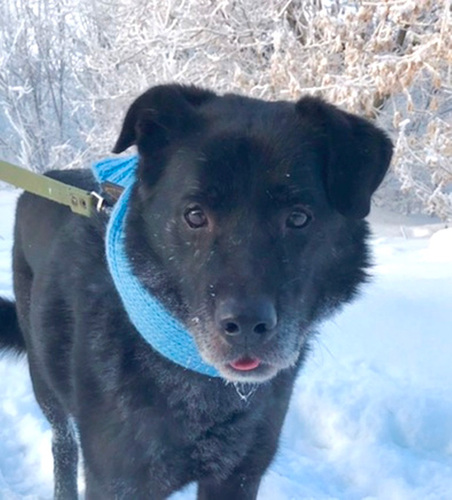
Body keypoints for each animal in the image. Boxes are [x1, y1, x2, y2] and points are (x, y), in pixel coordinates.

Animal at [0, 84, 392, 499]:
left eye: (299, 217)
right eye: (194, 215)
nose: (246, 325)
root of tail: (47, 178)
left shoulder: (238, 476)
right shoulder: (118, 481)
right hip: (45, 384)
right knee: (63, 443)